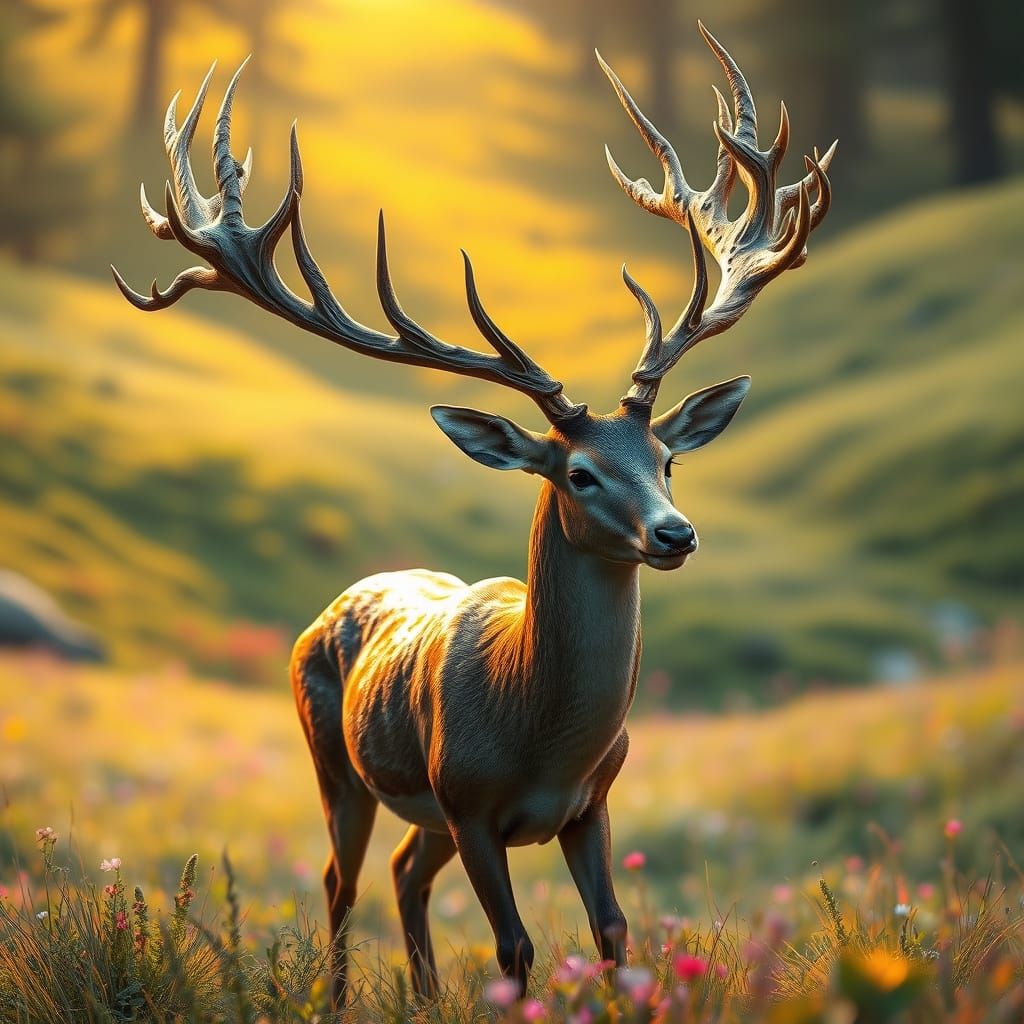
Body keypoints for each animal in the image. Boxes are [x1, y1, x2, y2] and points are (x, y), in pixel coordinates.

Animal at [113, 23, 834, 1006]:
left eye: (668, 461)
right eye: (578, 474)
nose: (674, 533)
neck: (538, 732)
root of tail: (339, 601)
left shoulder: (592, 804)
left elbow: (613, 932)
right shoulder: (470, 805)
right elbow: (516, 949)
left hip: (423, 817)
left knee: (402, 875)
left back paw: (421, 997)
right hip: (337, 763)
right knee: (341, 878)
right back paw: (336, 998)